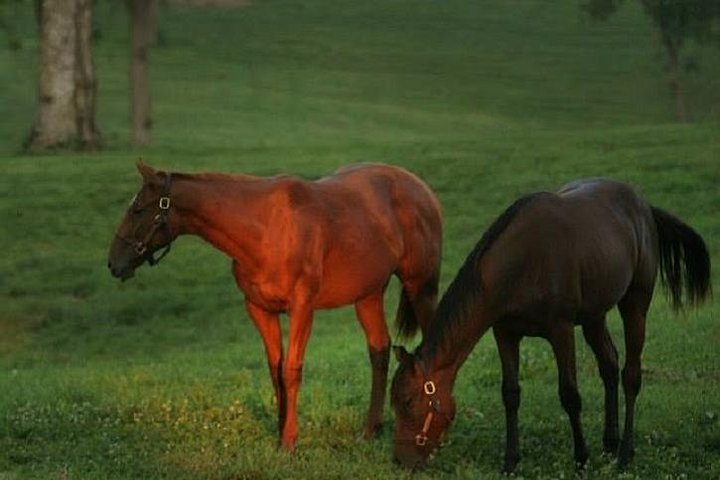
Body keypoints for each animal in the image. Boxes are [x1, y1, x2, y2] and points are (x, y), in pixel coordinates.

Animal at [108, 161, 442, 450]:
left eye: (138, 209)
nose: (113, 263)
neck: (265, 229)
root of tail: (421, 188)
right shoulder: (259, 310)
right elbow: (275, 369)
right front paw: (281, 431)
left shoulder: (302, 309)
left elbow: (291, 370)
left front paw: (289, 440)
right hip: (368, 296)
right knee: (379, 351)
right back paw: (370, 430)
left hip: (420, 288)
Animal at [390, 178, 711, 472]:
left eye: (407, 402)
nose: (400, 461)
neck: (522, 263)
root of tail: (643, 206)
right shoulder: (505, 333)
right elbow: (510, 394)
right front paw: (510, 461)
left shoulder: (561, 331)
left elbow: (569, 394)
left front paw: (581, 458)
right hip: (594, 316)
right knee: (608, 364)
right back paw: (610, 442)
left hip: (635, 304)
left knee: (630, 375)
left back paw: (624, 453)